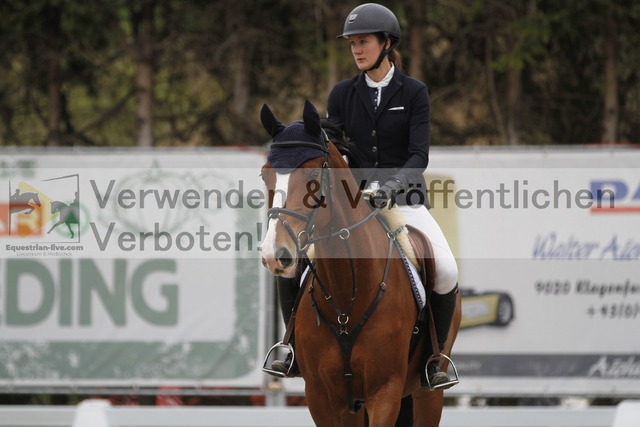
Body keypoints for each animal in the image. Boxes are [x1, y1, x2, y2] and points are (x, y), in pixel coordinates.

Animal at [259, 100, 461, 427]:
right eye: (265, 175)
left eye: (313, 174)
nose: (274, 254)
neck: (347, 297)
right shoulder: (322, 397)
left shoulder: (385, 392)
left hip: (426, 394)